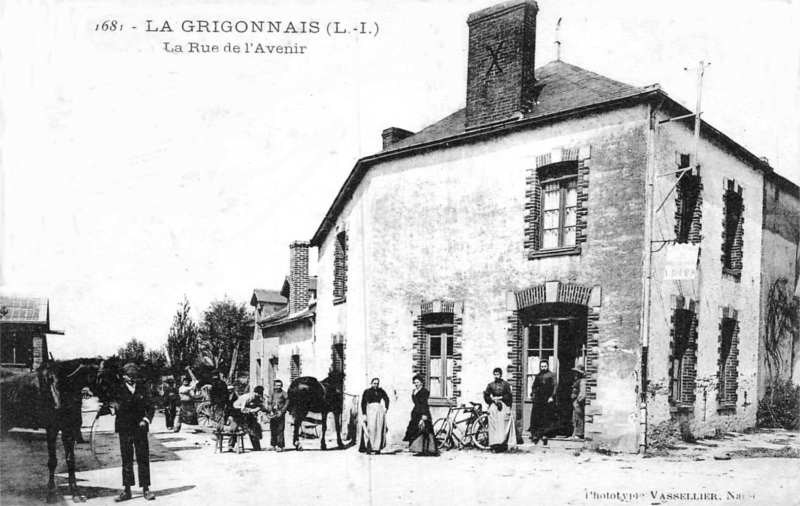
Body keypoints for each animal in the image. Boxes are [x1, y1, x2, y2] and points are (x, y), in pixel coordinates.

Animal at [0, 358, 122, 504]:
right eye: (107, 379)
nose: (117, 405)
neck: (63, 386)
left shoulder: (68, 430)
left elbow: (70, 461)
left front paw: (76, 494)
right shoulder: (52, 429)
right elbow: (52, 462)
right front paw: (51, 494)